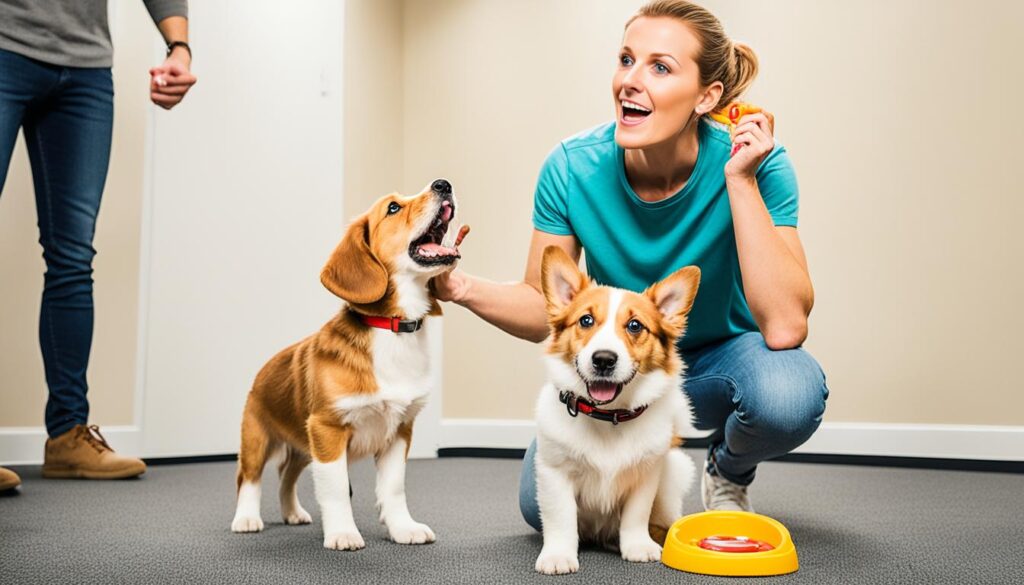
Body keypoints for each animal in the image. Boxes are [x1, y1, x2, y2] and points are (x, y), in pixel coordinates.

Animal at [230, 177, 466, 549]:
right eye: (393, 207)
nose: (443, 183)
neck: (392, 330)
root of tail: (265, 365)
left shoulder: (399, 432)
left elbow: (393, 489)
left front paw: (403, 528)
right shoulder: (327, 430)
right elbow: (337, 489)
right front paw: (343, 533)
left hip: (303, 447)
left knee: (286, 475)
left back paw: (292, 512)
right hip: (257, 438)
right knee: (249, 478)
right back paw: (246, 518)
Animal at [536, 244, 704, 573]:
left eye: (635, 325)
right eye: (586, 321)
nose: (603, 359)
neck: (608, 416)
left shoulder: (646, 477)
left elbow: (636, 517)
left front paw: (637, 546)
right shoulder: (554, 471)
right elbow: (561, 519)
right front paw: (559, 555)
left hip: (676, 469)